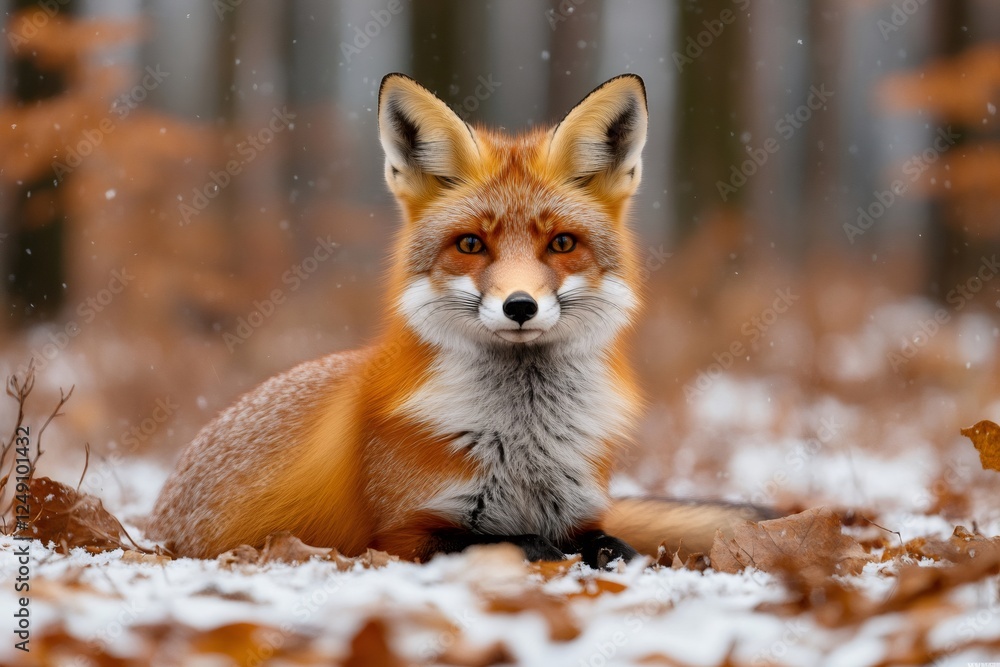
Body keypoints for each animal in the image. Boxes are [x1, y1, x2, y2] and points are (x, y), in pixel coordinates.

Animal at [148, 73, 770, 568]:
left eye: (562, 243)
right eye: (471, 244)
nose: (519, 306)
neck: (524, 443)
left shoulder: (581, 513)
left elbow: (616, 545)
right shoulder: (399, 535)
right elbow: (512, 541)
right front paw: (542, 550)